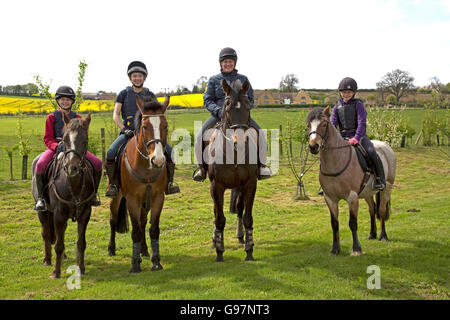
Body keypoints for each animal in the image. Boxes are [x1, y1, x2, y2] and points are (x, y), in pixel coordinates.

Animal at [31, 113, 96, 278]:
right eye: (65, 140)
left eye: (85, 140)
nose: (71, 168)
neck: (73, 183)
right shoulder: (58, 214)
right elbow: (58, 245)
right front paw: (56, 272)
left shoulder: (85, 213)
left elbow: (81, 243)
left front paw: (81, 268)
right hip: (44, 213)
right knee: (46, 234)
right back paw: (47, 260)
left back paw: (64, 257)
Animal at [109, 94, 171, 272]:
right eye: (144, 126)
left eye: (165, 126)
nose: (158, 160)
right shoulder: (132, 199)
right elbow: (135, 230)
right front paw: (135, 264)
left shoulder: (157, 197)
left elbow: (153, 229)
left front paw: (156, 261)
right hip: (116, 197)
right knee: (113, 219)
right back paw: (111, 249)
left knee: (143, 222)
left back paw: (144, 250)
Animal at [204, 79, 260, 262]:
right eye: (227, 106)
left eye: (248, 106)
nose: (240, 141)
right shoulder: (216, 186)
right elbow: (219, 219)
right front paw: (219, 251)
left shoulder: (250, 184)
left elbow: (247, 217)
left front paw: (249, 249)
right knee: (216, 212)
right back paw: (215, 241)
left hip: (240, 187)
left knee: (240, 209)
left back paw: (241, 237)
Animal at [306, 106, 398, 256]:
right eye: (308, 125)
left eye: (324, 124)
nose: (313, 147)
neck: (337, 161)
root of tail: (385, 145)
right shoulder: (330, 198)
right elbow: (334, 224)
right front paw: (335, 249)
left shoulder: (352, 197)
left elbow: (353, 223)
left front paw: (356, 249)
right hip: (367, 192)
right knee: (372, 208)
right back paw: (372, 234)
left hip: (387, 188)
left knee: (382, 210)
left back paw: (383, 236)